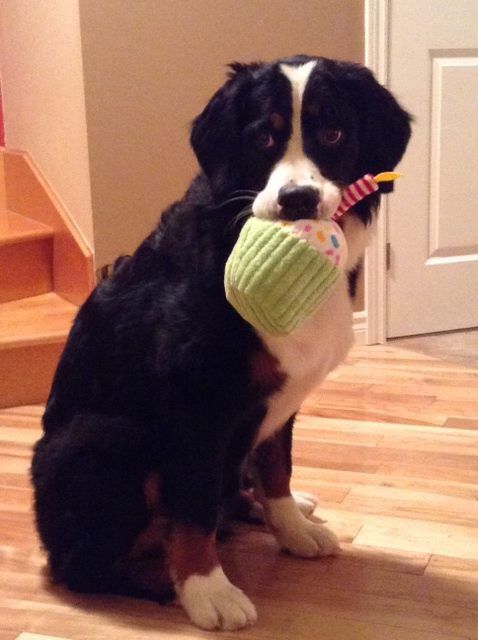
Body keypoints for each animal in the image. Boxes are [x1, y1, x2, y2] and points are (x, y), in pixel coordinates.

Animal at [30, 55, 410, 632]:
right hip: (104, 437)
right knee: (80, 565)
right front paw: (207, 590)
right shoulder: (194, 401)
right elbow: (192, 509)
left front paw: (291, 528)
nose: (297, 199)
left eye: (333, 132)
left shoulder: (281, 395)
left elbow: (276, 467)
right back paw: (157, 580)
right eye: (263, 137)